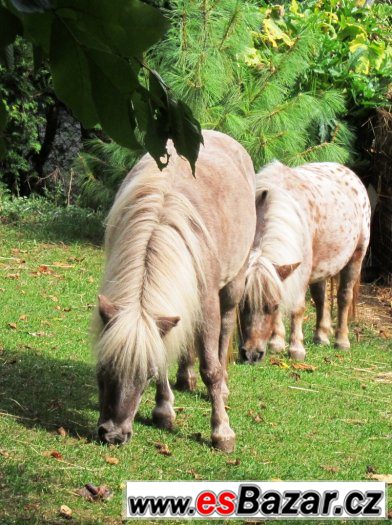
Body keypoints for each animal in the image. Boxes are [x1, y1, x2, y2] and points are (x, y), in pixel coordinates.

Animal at [93, 130, 256, 450]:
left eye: (145, 376)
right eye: (104, 368)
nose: (113, 435)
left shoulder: (208, 305)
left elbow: (210, 368)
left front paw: (222, 431)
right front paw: (164, 410)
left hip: (233, 284)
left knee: (226, 329)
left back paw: (222, 386)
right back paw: (185, 375)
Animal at [239, 162, 370, 362]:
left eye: (273, 306)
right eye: (241, 305)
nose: (251, 354)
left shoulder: (301, 271)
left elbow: (297, 308)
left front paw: (296, 349)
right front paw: (277, 342)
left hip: (356, 257)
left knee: (344, 297)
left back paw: (341, 341)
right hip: (321, 267)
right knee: (321, 298)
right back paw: (321, 337)